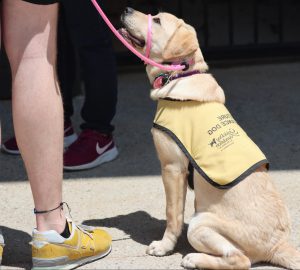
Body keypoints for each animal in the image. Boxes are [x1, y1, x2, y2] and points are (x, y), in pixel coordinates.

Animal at [119, 7, 300, 268]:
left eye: (157, 20)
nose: (127, 9)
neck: (181, 76)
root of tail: (278, 244)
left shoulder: (172, 167)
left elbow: (172, 214)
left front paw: (164, 247)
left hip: (199, 223)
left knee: (240, 260)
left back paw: (193, 259)